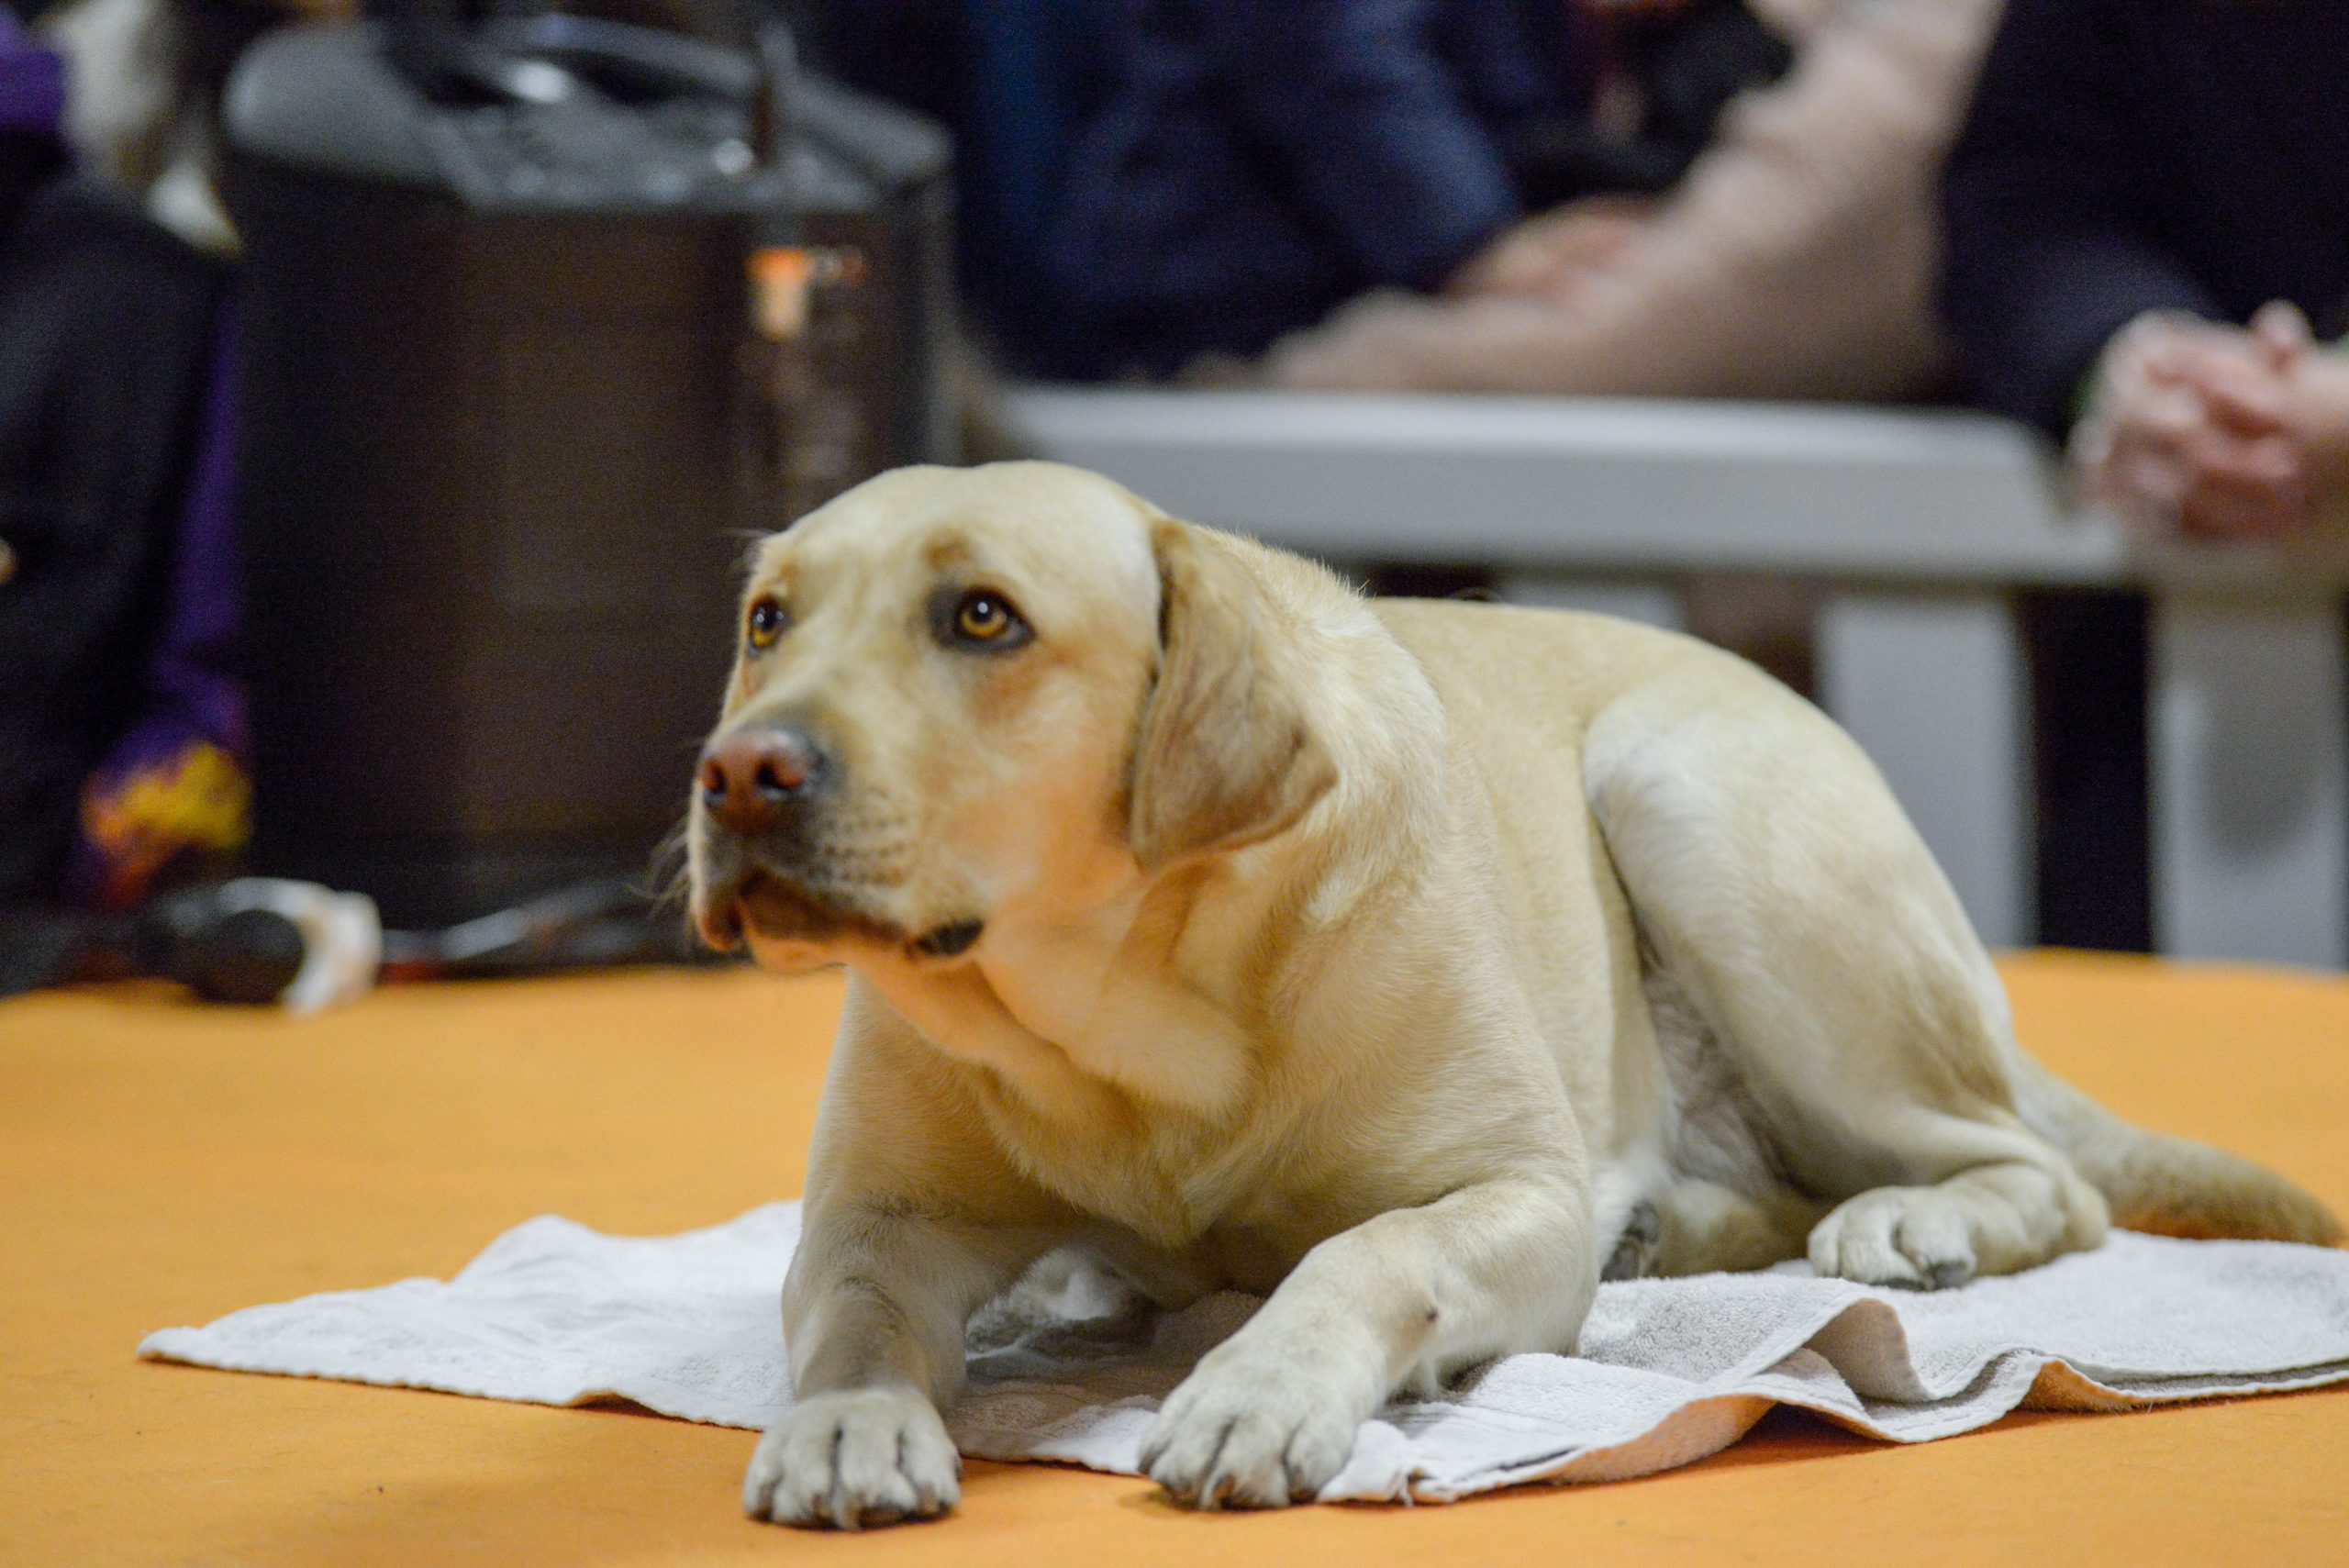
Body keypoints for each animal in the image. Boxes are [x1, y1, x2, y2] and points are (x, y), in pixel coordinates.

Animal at [685, 460, 2339, 1520]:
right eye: (767, 618)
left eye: (983, 616)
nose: (741, 770)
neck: (1131, 1012)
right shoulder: (878, 1218)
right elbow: (851, 1314)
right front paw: (847, 1418)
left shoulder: (1513, 1194)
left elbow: (1365, 1252)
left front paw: (1257, 1380)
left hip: (1690, 801)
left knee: (2045, 1175)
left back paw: (1904, 1220)